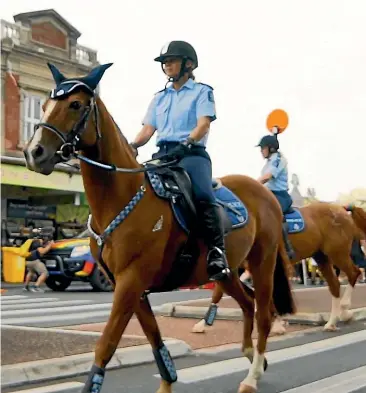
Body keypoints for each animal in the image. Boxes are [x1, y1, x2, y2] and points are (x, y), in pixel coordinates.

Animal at [22, 62, 296, 390]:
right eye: (45, 105)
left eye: (75, 105)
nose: (34, 152)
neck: (122, 197)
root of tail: (267, 195)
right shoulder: (131, 286)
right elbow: (154, 339)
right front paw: (167, 383)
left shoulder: (130, 282)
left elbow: (106, 345)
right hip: (227, 272)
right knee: (247, 303)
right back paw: (250, 354)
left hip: (262, 262)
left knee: (264, 313)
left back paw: (252, 376)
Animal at [192, 202, 364, 334]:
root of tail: (341, 209)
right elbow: (219, 293)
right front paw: (202, 323)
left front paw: (276, 322)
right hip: (321, 256)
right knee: (335, 285)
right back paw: (332, 322)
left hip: (337, 252)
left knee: (354, 273)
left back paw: (345, 309)